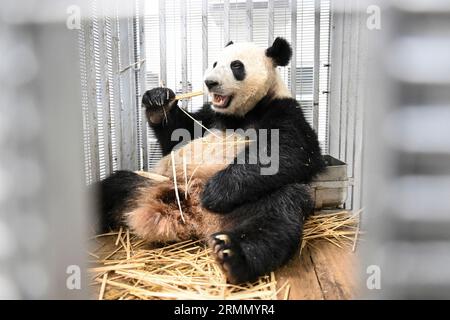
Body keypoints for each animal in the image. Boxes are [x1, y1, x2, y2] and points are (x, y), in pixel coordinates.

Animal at [98, 37, 326, 282]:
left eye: (236, 66)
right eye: (215, 63)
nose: (210, 82)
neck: (242, 113)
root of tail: (200, 220)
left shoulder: (284, 110)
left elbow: (288, 152)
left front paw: (216, 191)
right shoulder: (209, 115)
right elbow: (179, 134)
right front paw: (158, 101)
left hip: (258, 202)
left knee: (275, 220)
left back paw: (232, 255)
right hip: (150, 182)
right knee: (112, 187)